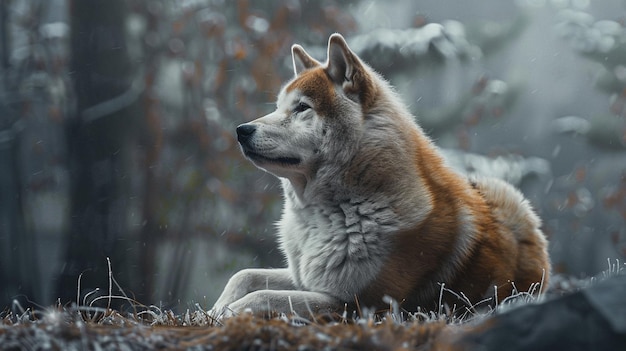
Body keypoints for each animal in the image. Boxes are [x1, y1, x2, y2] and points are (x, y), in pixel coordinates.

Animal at [212, 33, 548, 320]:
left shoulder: (361, 305)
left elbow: (263, 296)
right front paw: (215, 310)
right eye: (278, 107)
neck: (334, 211)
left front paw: (228, 313)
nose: (241, 130)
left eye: (302, 108)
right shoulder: (306, 279)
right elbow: (244, 275)